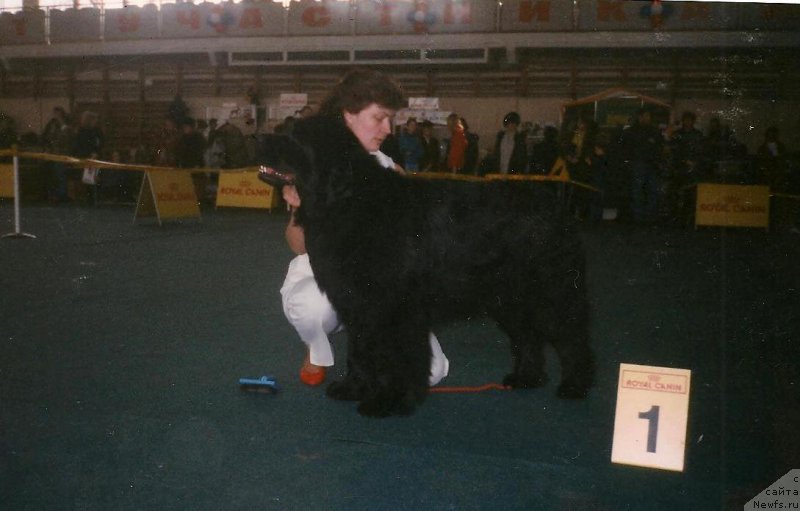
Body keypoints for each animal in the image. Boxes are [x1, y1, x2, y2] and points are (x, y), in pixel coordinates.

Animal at [260, 115, 592, 416]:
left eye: (295, 136)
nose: (262, 137)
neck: (349, 202)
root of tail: (557, 207)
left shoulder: (393, 309)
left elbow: (396, 357)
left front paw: (389, 401)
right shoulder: (359, 304)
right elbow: (360, 351)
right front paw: (353, 387)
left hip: (551, 293)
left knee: (572, 337)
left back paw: (575, 385)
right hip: (508, 299)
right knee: (528, 337)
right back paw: (526, 377)